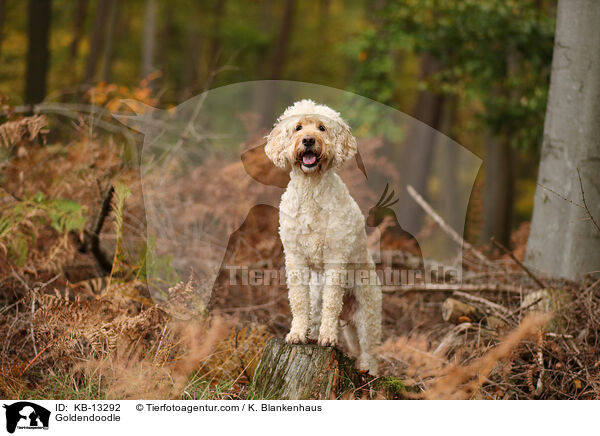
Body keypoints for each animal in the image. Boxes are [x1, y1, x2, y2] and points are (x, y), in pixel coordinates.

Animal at [264, 100, 382, 372]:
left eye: (322, 127)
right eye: (298, 127)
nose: (308, 140)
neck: (311, 190)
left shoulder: (336, 258)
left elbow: (332, 300)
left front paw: (328, 338)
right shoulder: (295, 258)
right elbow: (298, 300)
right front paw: (297, 333)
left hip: (367, 312)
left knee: (369, 347)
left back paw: (367, 367)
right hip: (319, 298)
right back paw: (313, 333)